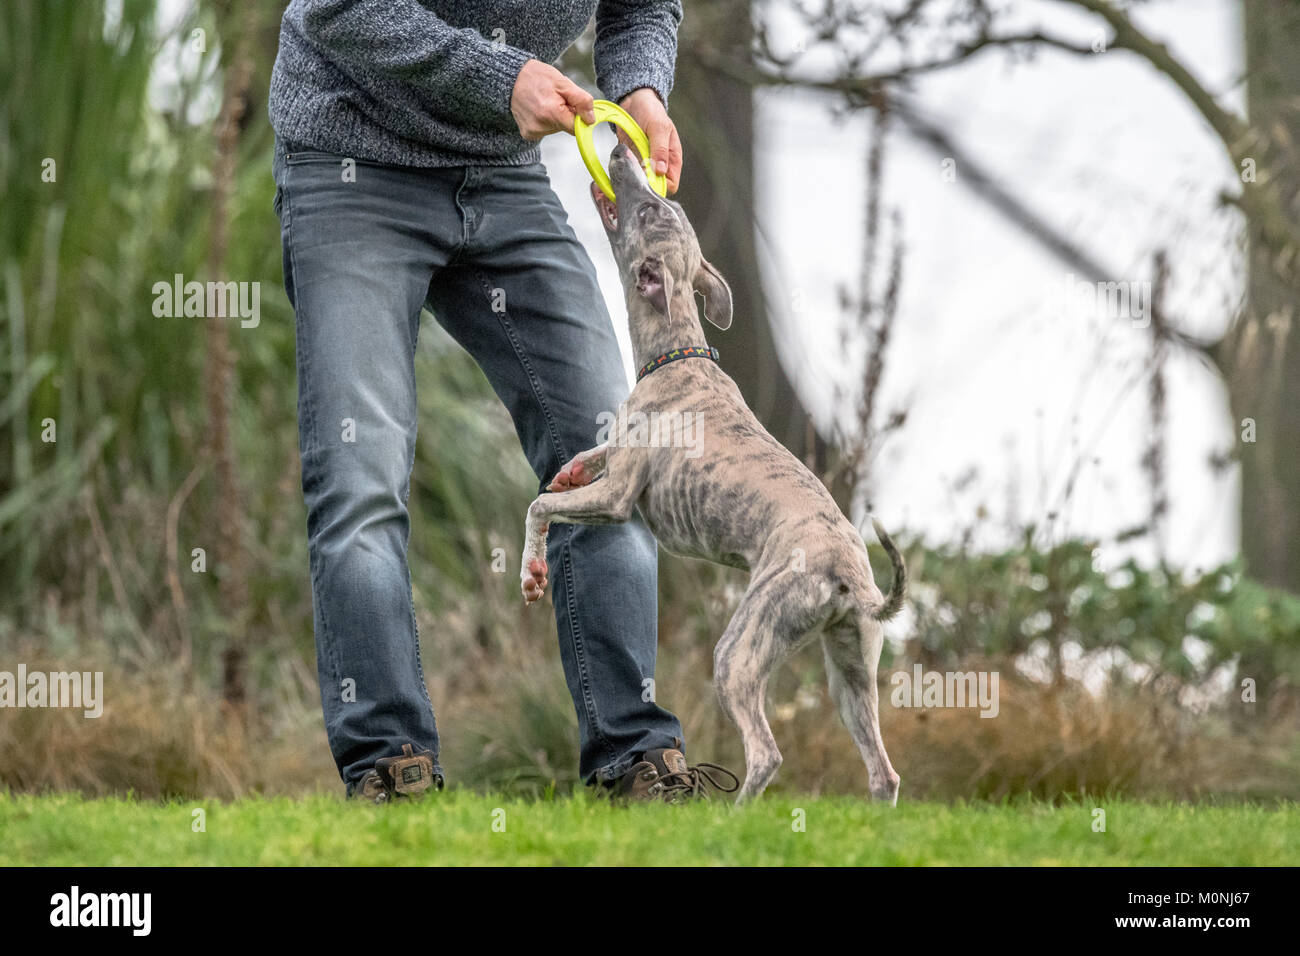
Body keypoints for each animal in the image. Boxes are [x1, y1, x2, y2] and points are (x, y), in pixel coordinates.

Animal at [517, 145, 904, 806]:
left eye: (649, 211)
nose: (620, 150)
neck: (677, 354)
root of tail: (852, 580)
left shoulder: (619, 498)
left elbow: (540, 506)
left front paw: (532, 572)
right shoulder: (616, 456)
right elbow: (588, 458)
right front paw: (568, 470)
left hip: (741, 650)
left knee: (767, 753)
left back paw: (732, 815)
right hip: (851, 672)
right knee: (883, 772)